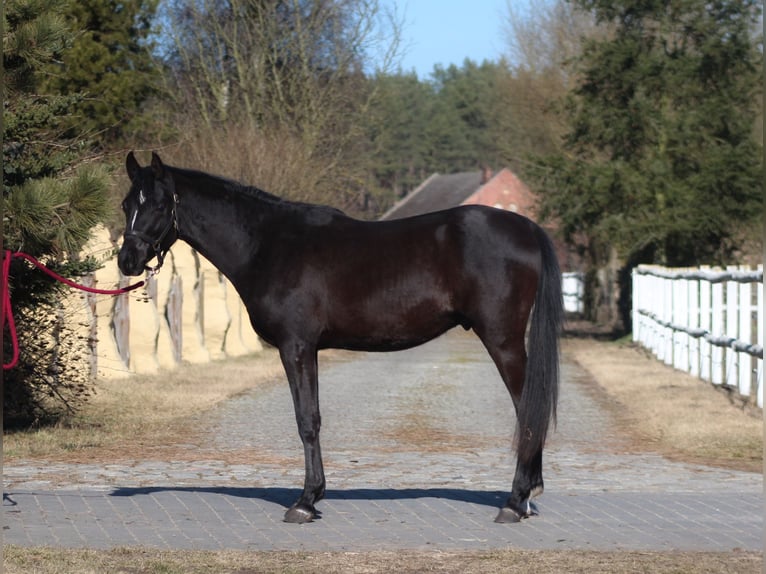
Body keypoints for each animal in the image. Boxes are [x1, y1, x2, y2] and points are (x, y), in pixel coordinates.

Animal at [117, 152, 563, 524]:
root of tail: (526, 227)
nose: (127, 260)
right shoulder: (307, 349)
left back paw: (515, 502)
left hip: (503, 340)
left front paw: (305, 501)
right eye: (126, 204)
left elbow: (306, 420)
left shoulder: (296, 347)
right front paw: (314, 496)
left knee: (528, 409)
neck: (268, 243)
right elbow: (312, 417)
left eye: (158, 204)